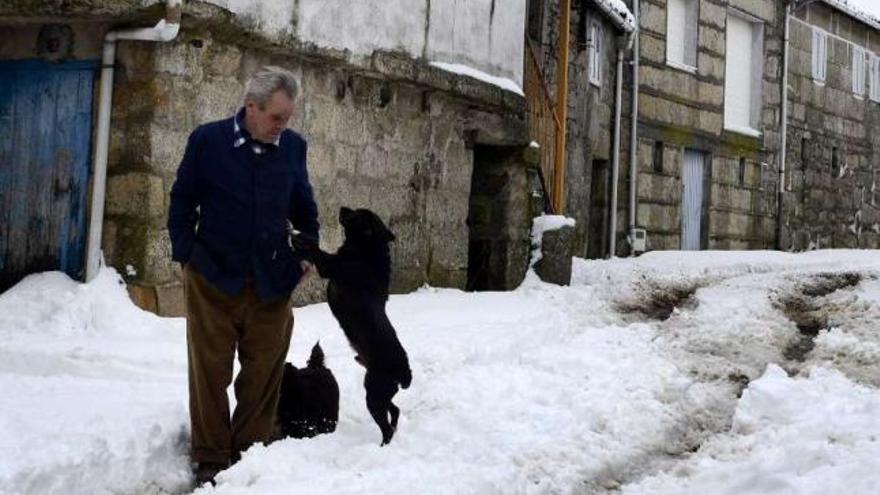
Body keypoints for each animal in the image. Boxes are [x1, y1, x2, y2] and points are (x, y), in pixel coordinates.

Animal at [290, 207, 410, 448]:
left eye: (357, 214)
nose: (342, 208)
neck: (367, 252)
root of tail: (403, 371)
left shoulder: (330, 266)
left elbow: (316, 249)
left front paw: (300, 237)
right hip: (380, 393)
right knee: (395, 409)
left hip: (374, 394)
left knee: (386, 426)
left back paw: (382, 446)